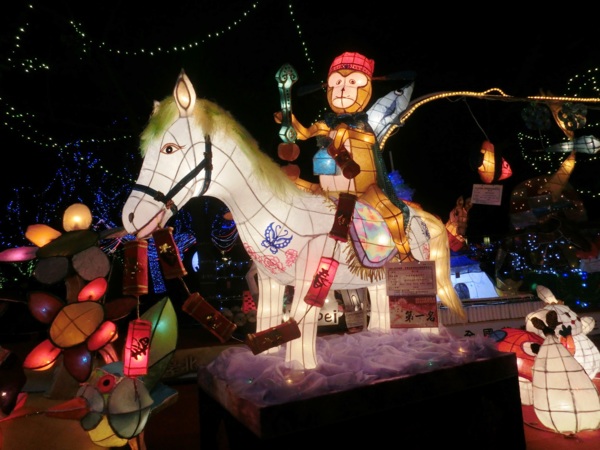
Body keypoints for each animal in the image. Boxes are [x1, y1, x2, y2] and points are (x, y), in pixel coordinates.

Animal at [122, 71, 466, 370]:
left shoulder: (308, 276)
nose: (130, 216)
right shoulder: (268, 278)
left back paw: (425, 341)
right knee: (381, 306)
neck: (273, 212)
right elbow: (267, 318)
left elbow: (302, 323)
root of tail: (422, 216)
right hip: (379, 278)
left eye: (169, 148)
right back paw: (380, 341)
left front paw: (300, 369)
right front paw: (267, 362)